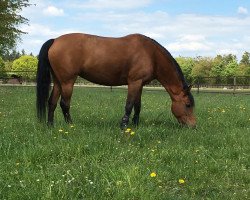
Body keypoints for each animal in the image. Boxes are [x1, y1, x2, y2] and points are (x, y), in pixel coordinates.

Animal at [36, 33, 196, 128]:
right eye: (188, 104)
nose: (193, 126)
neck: (151, 54)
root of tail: (55, 41)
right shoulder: (134, 82)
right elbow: (129, 105)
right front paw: (124, 125)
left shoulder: (140, 84)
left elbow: (138, 105)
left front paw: (135, 124)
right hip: (67, 82)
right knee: (64, 104)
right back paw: (70, 125)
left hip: (58, 81)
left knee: (52, 102)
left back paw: (50, 125)